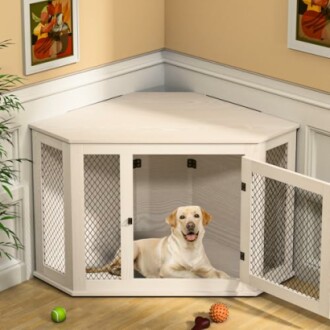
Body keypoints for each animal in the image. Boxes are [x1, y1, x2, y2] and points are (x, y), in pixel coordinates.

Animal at [86, 206, 228, 278]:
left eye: (196, 215)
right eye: (182, 217)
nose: (190, 225)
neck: (190, 248)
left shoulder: (208, 268)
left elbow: (220, 273)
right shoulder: (167, 269)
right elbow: (189, 273)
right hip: (133, 249)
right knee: (111, 267)